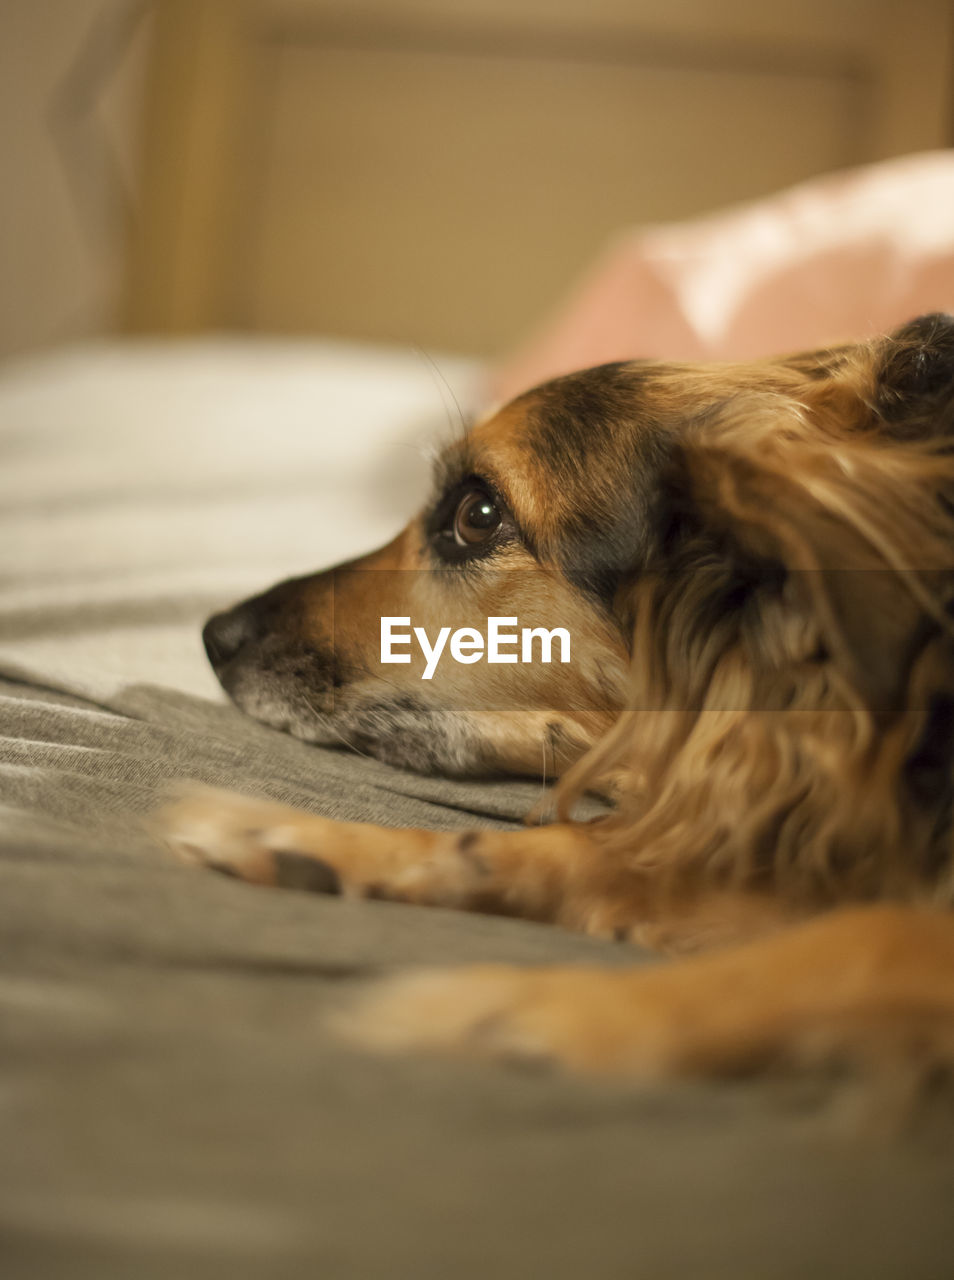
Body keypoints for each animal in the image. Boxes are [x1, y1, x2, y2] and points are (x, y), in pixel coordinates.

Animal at [160, 314, 952, 1085]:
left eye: (477, 514)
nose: (214, 637)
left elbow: (870, 938)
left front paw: (536, 1009)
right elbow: (578, 848)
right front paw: (320, 844)